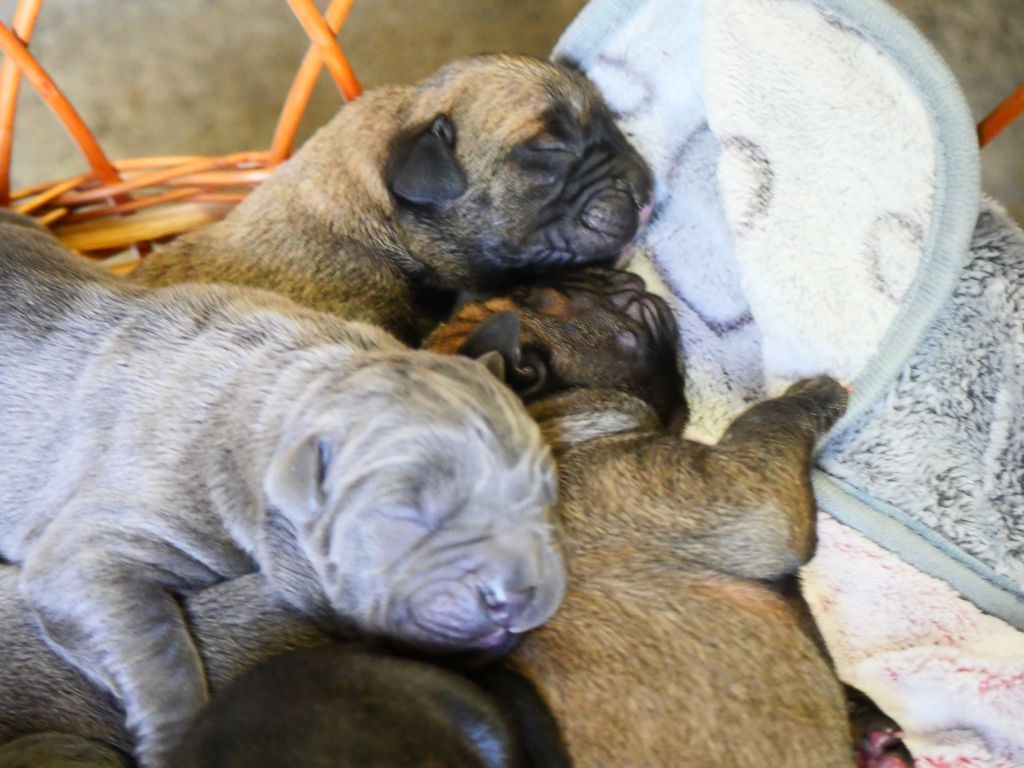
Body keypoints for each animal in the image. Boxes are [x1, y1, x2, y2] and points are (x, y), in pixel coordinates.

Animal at [0, 219, 565, 765]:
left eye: (541, 498)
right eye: (409, 513)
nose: (517, 593)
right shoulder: (87, 553)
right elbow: (158, 654)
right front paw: (175, 740)